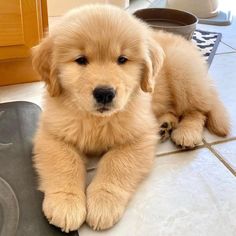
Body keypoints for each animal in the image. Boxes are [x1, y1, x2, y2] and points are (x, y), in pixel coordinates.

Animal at [32, 3, 230, 232]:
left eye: (122, 60)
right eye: (80, 60)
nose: (104, 93)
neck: (97, 120)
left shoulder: (139, 136)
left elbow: (116, 163)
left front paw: (103, 202)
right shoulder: (52, 134)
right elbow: (64, 162)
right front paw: (66, 202)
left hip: (184, 76)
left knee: (199, 110)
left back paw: (187, 132)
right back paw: (164, 126)